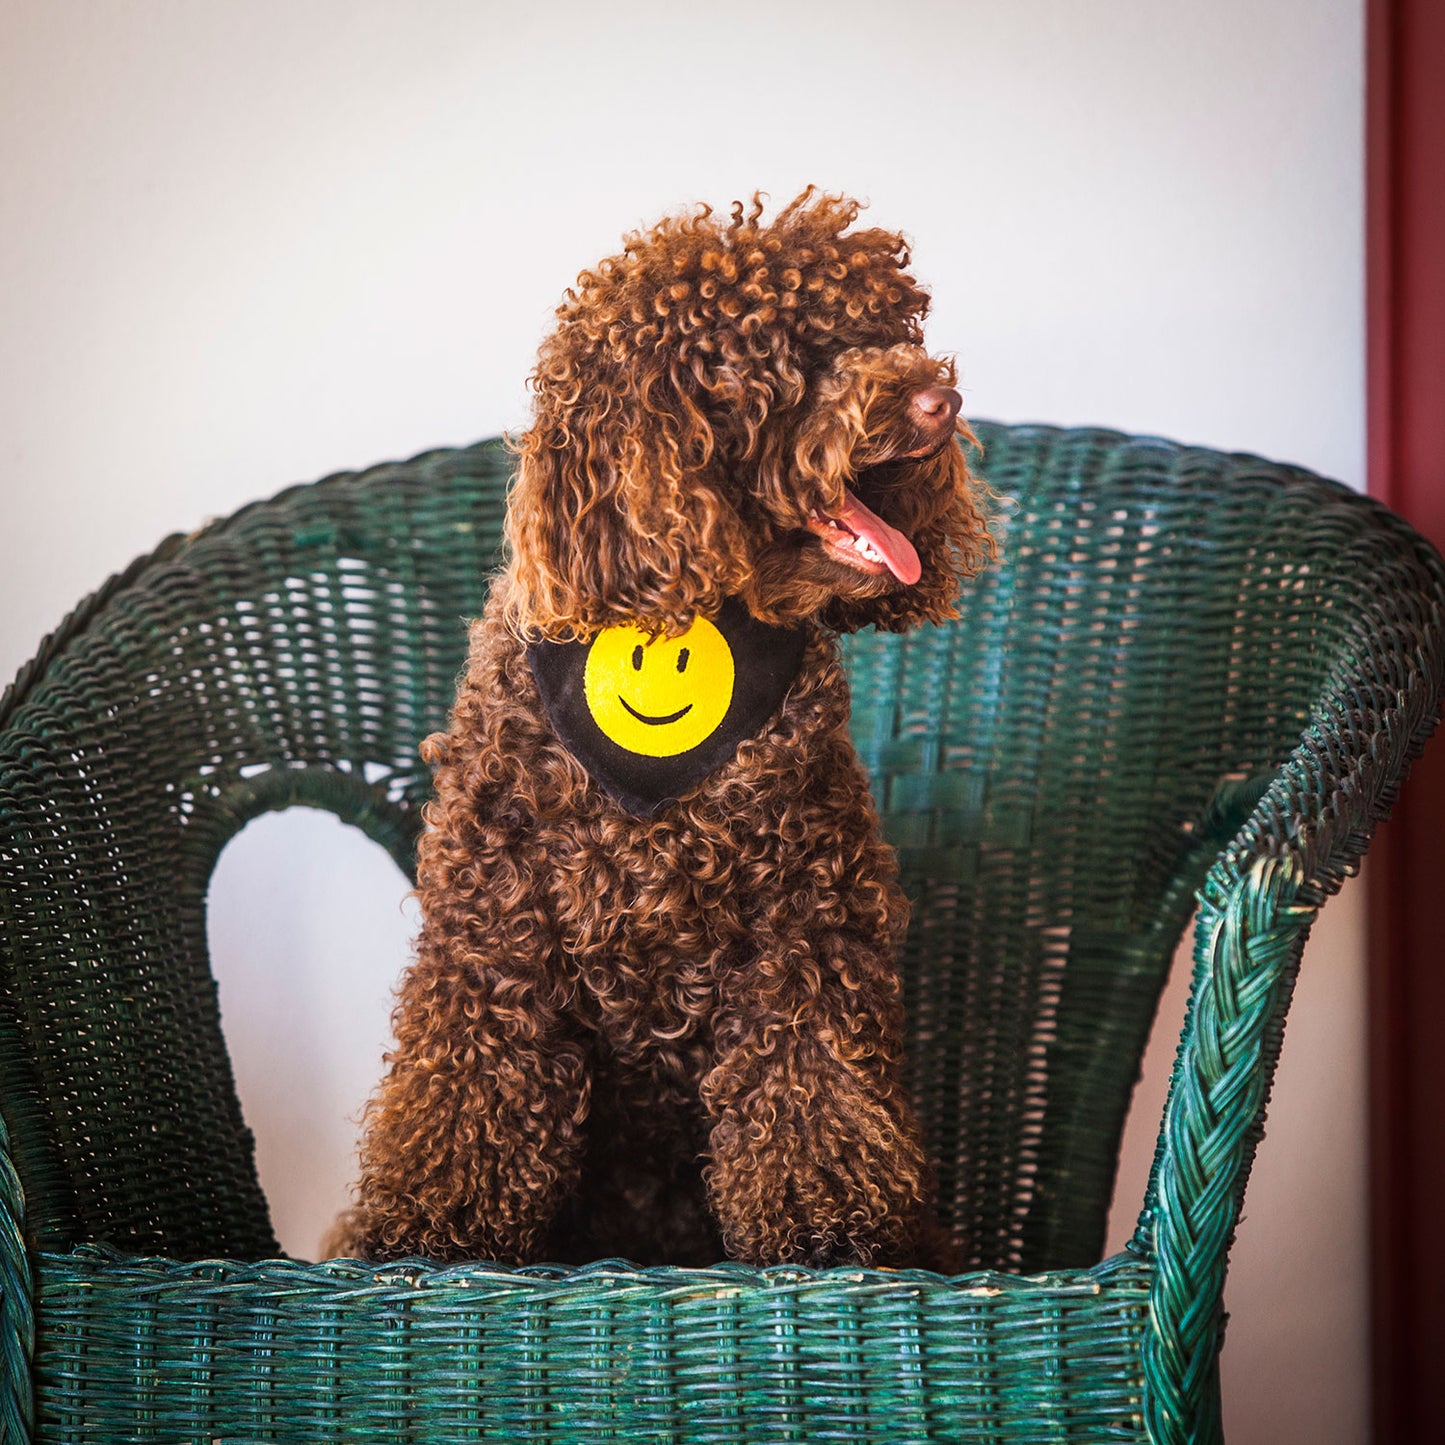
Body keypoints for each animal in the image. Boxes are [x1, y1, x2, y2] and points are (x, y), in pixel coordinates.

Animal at [335, 189, 994, 1265]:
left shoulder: (804, 936)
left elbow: (810, 1092)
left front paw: (829, 1225)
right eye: (787, 353)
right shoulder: (492, 948)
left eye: (890, 330)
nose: (940, 399)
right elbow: (466, 1101)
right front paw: (430, 1227)